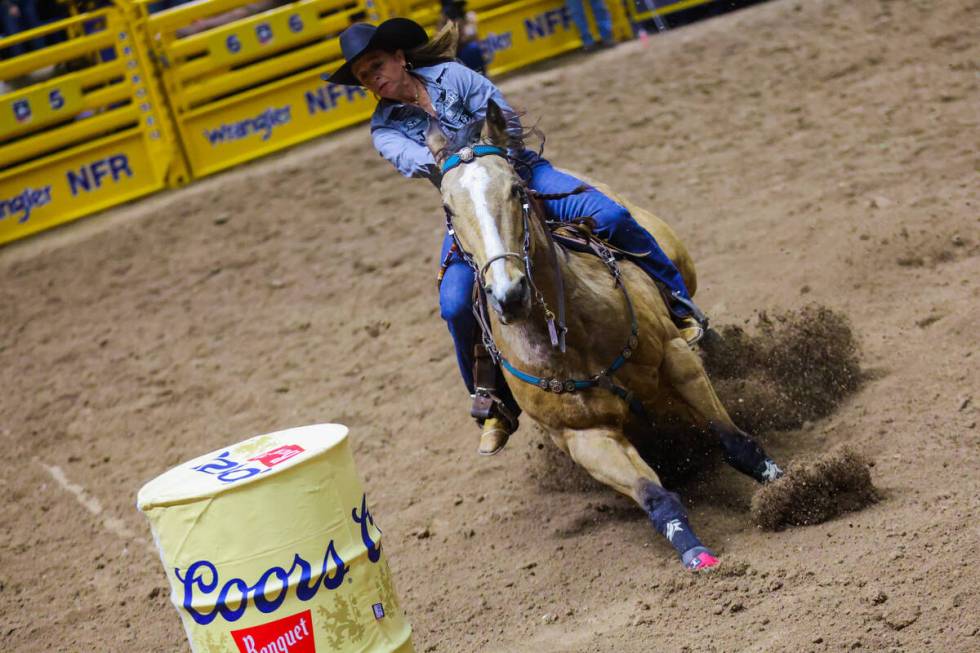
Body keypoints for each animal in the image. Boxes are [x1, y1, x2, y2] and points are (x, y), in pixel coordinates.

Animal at [432, 99, 784, 568]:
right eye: (449, 210)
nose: (510, 294)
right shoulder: (585, 437)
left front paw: (787, 487)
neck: (574, 338)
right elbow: (654, 495)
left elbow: (735, 441)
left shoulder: (676, 358)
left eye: (516, 190)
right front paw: (695, 553)